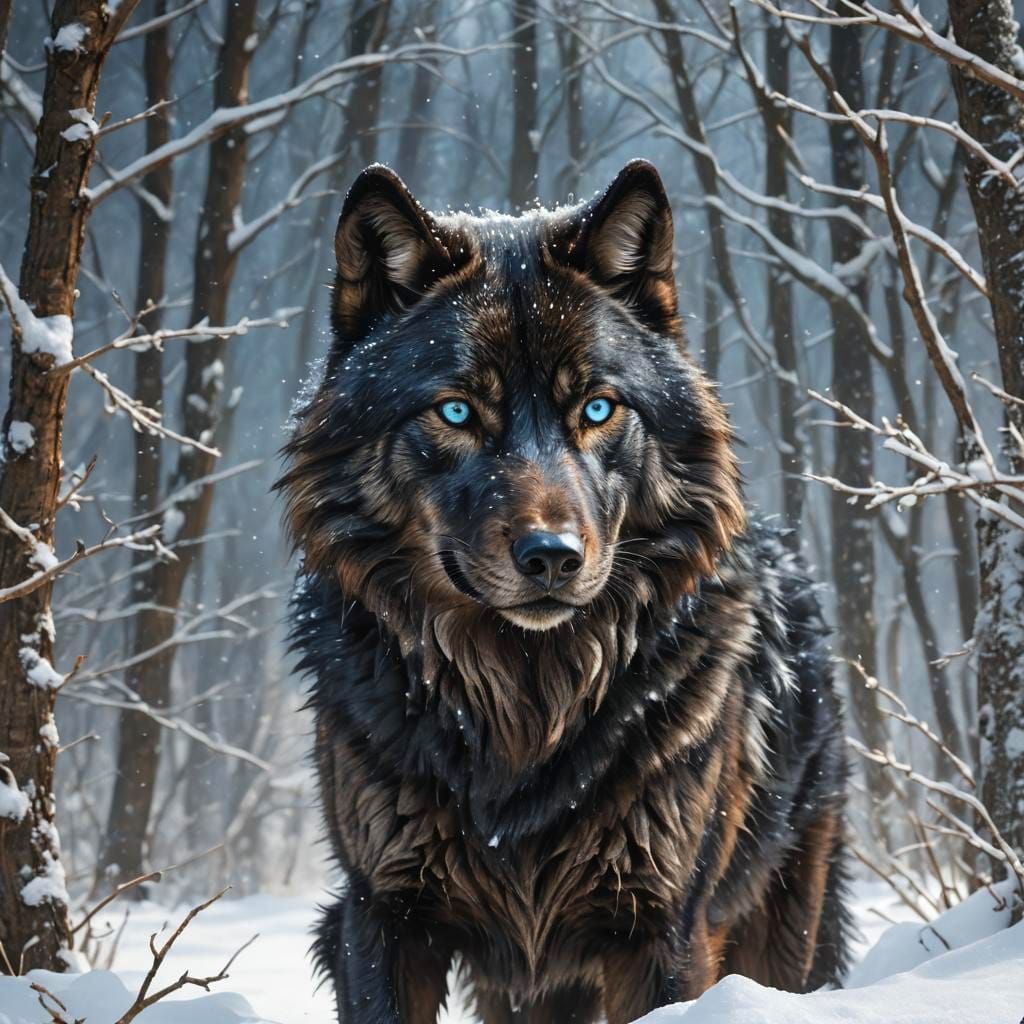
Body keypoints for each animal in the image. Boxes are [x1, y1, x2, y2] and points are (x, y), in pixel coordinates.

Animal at [277, 160, 849, 1024]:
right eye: (456, 411)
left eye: (598, 407)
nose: (552, 556)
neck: (526, 705)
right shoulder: (379, 919)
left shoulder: (663, 933)